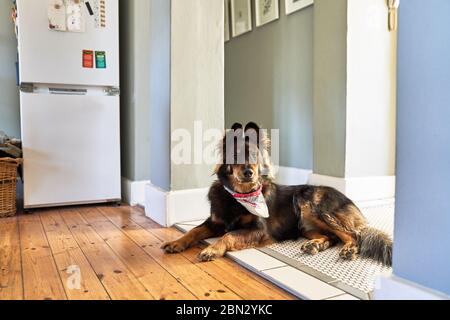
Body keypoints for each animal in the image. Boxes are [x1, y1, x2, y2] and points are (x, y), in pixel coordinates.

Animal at [163, 121, 394, 266]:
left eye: (255, 156)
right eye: (236, 156)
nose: (249, 172)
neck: (239, 196)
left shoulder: (258, 230)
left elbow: (228, 235)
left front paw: (211, 250)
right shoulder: (214, 222)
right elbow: (193, 231)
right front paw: (176, 243)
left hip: (309, 203)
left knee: (353, 236)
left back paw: (349, 250)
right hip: (304, 224)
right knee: (331, 237)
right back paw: (315, 245)